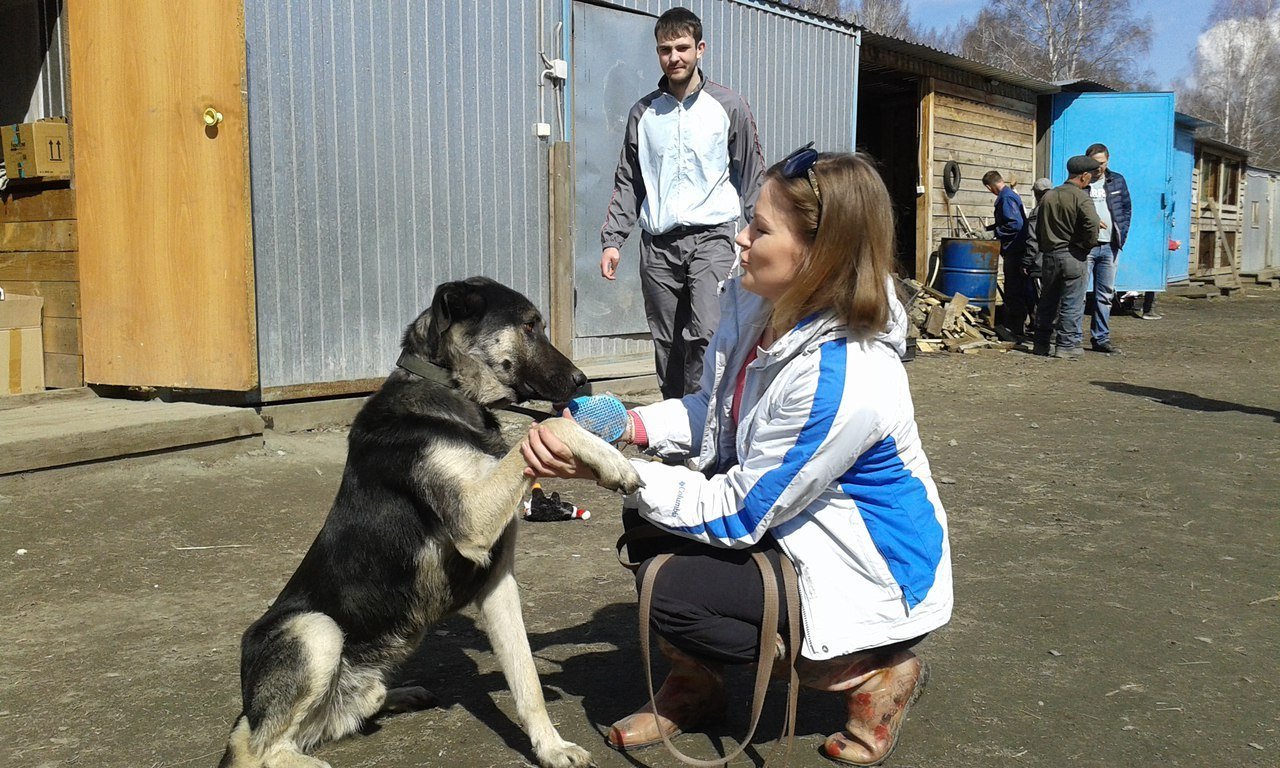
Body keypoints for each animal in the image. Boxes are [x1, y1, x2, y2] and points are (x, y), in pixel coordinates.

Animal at [221, 277, 645, 768]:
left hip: (352, 680)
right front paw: (613, 461)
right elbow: (548, 429)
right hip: (316, 630)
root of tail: (247, 708)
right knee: (256, 748)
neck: (452, 391)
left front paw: (551, 746)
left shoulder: (498, 582)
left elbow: (527, 679)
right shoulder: (473, 518)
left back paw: (398, 695)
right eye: (529, 326)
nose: (583, 381)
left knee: (338, 713)